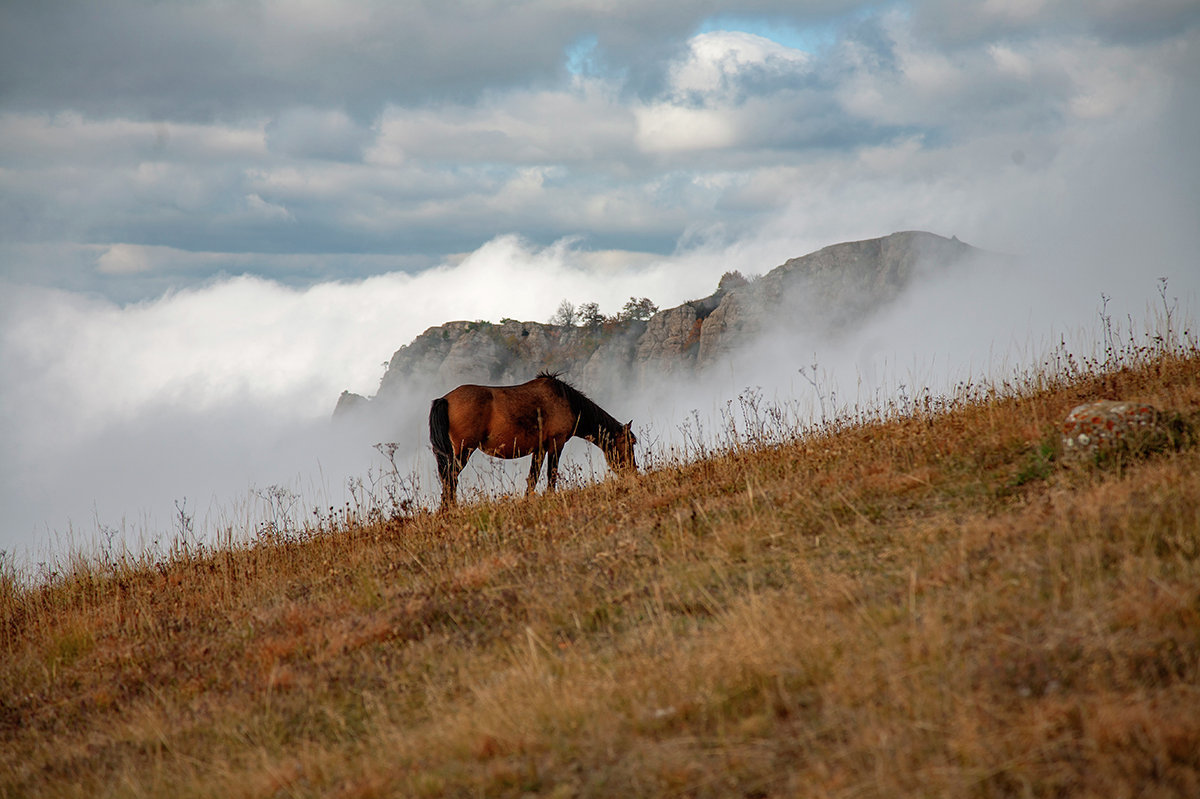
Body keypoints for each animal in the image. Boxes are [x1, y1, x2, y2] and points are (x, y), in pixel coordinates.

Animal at [429, 369, 638, 506]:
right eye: (631, 444)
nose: (633, 472)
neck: (566, 401)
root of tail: (445, 399)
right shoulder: (556, 444)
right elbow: (551, 475)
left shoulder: (540, 449)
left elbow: (533, 477)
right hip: (464, 450)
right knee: (451, 478)